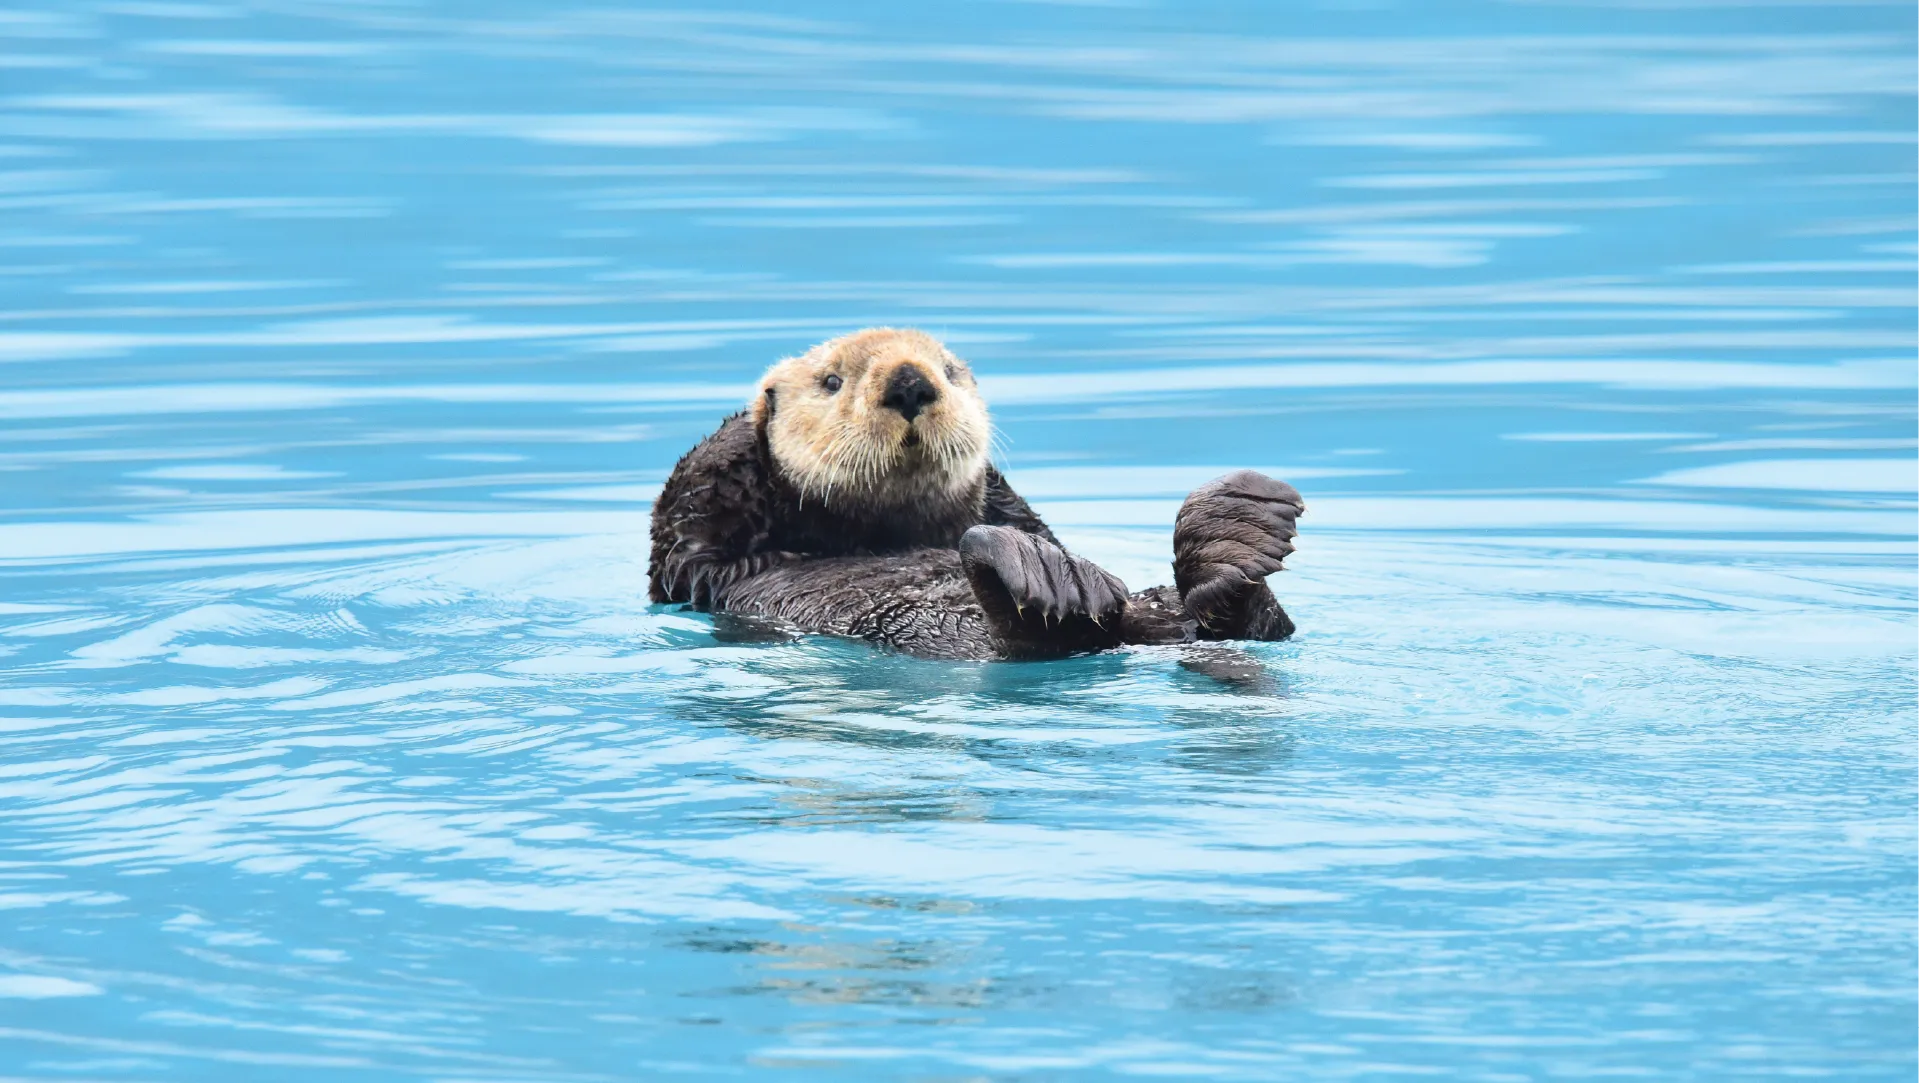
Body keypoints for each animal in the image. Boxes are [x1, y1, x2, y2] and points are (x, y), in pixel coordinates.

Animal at [648, 327, 1303, 661]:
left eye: (949, 371)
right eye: (831, 380)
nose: (910, 382)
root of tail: (1122, 632)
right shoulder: (694, 552)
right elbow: (694, 515)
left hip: (1159, 607)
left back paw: (1234, 527)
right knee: (1025, 636)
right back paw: (1039, 577)